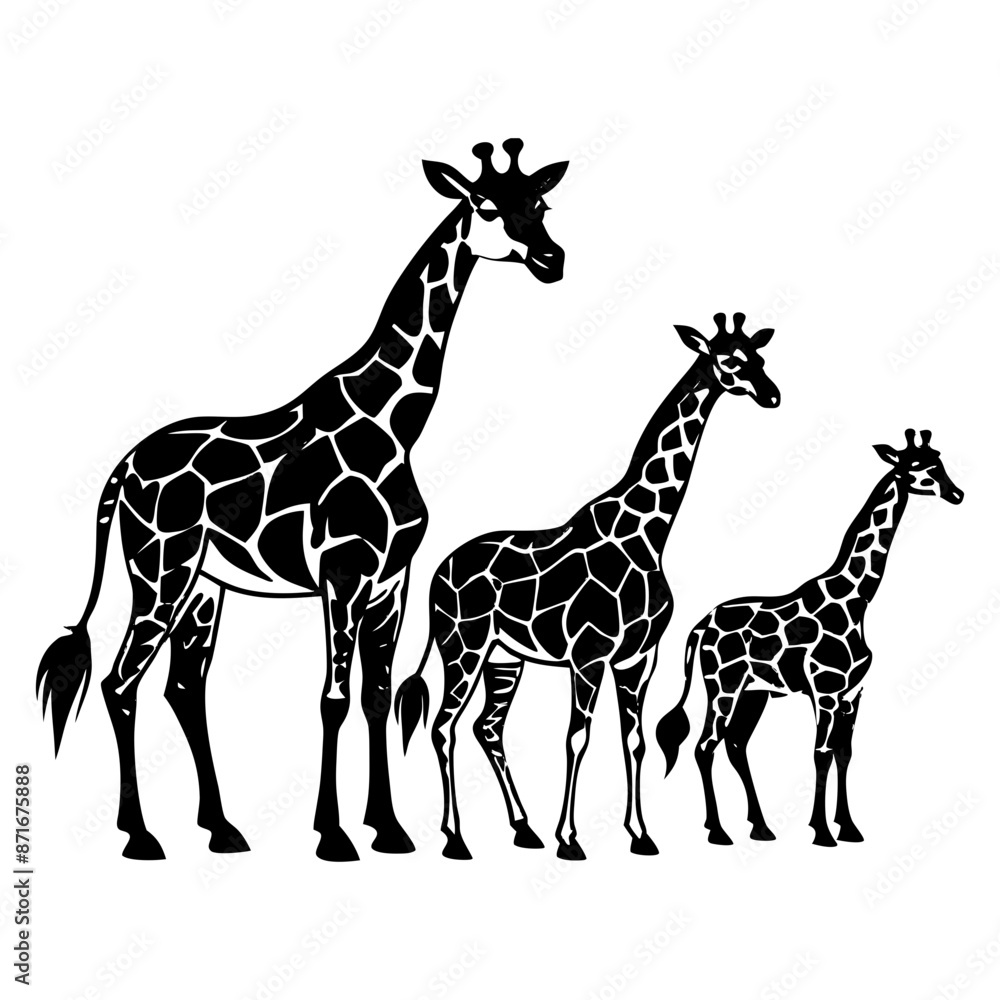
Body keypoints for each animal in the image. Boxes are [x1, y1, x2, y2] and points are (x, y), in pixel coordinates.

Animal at [35, 139, 569, 862]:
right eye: (487, 206)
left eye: (541, 204)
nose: (552, 260)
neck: (394, 422)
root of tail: (124, 466)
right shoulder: (343, 573)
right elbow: (332, 699)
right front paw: (335, 834)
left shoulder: (392, 581)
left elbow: (376, 696)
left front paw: (389, 828)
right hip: (160, 569)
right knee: (121, 682)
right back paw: (141, 835)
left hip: (204, 586)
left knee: (183, 687)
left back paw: (221, 828)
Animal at [395, 313, 781, 859]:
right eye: (728, 360)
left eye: (760, 356)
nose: (772, 395)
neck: (649, 532)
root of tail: (437, 572)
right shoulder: (589, 655)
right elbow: (577, 738)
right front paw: (570, 839)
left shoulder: (638, 658)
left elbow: (634, 741)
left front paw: (641, 835)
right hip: (463, 645)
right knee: (444, 726)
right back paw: (456, 838)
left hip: (504, 657)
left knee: (486, 728)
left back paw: (523, 828)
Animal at [656, 429, 964, 847]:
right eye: (918, 466)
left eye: (940, 461)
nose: (958, 494)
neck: (856, 597)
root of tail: (699, 627)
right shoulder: (825, 690)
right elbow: (820, 753)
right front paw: (822, 832)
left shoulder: (853, 693)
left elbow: (844, 754)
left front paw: (848, 827)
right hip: (723, 685)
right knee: (706, 746)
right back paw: (719, 831)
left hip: (754, 693)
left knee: (736, 744)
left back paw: (760, 827)